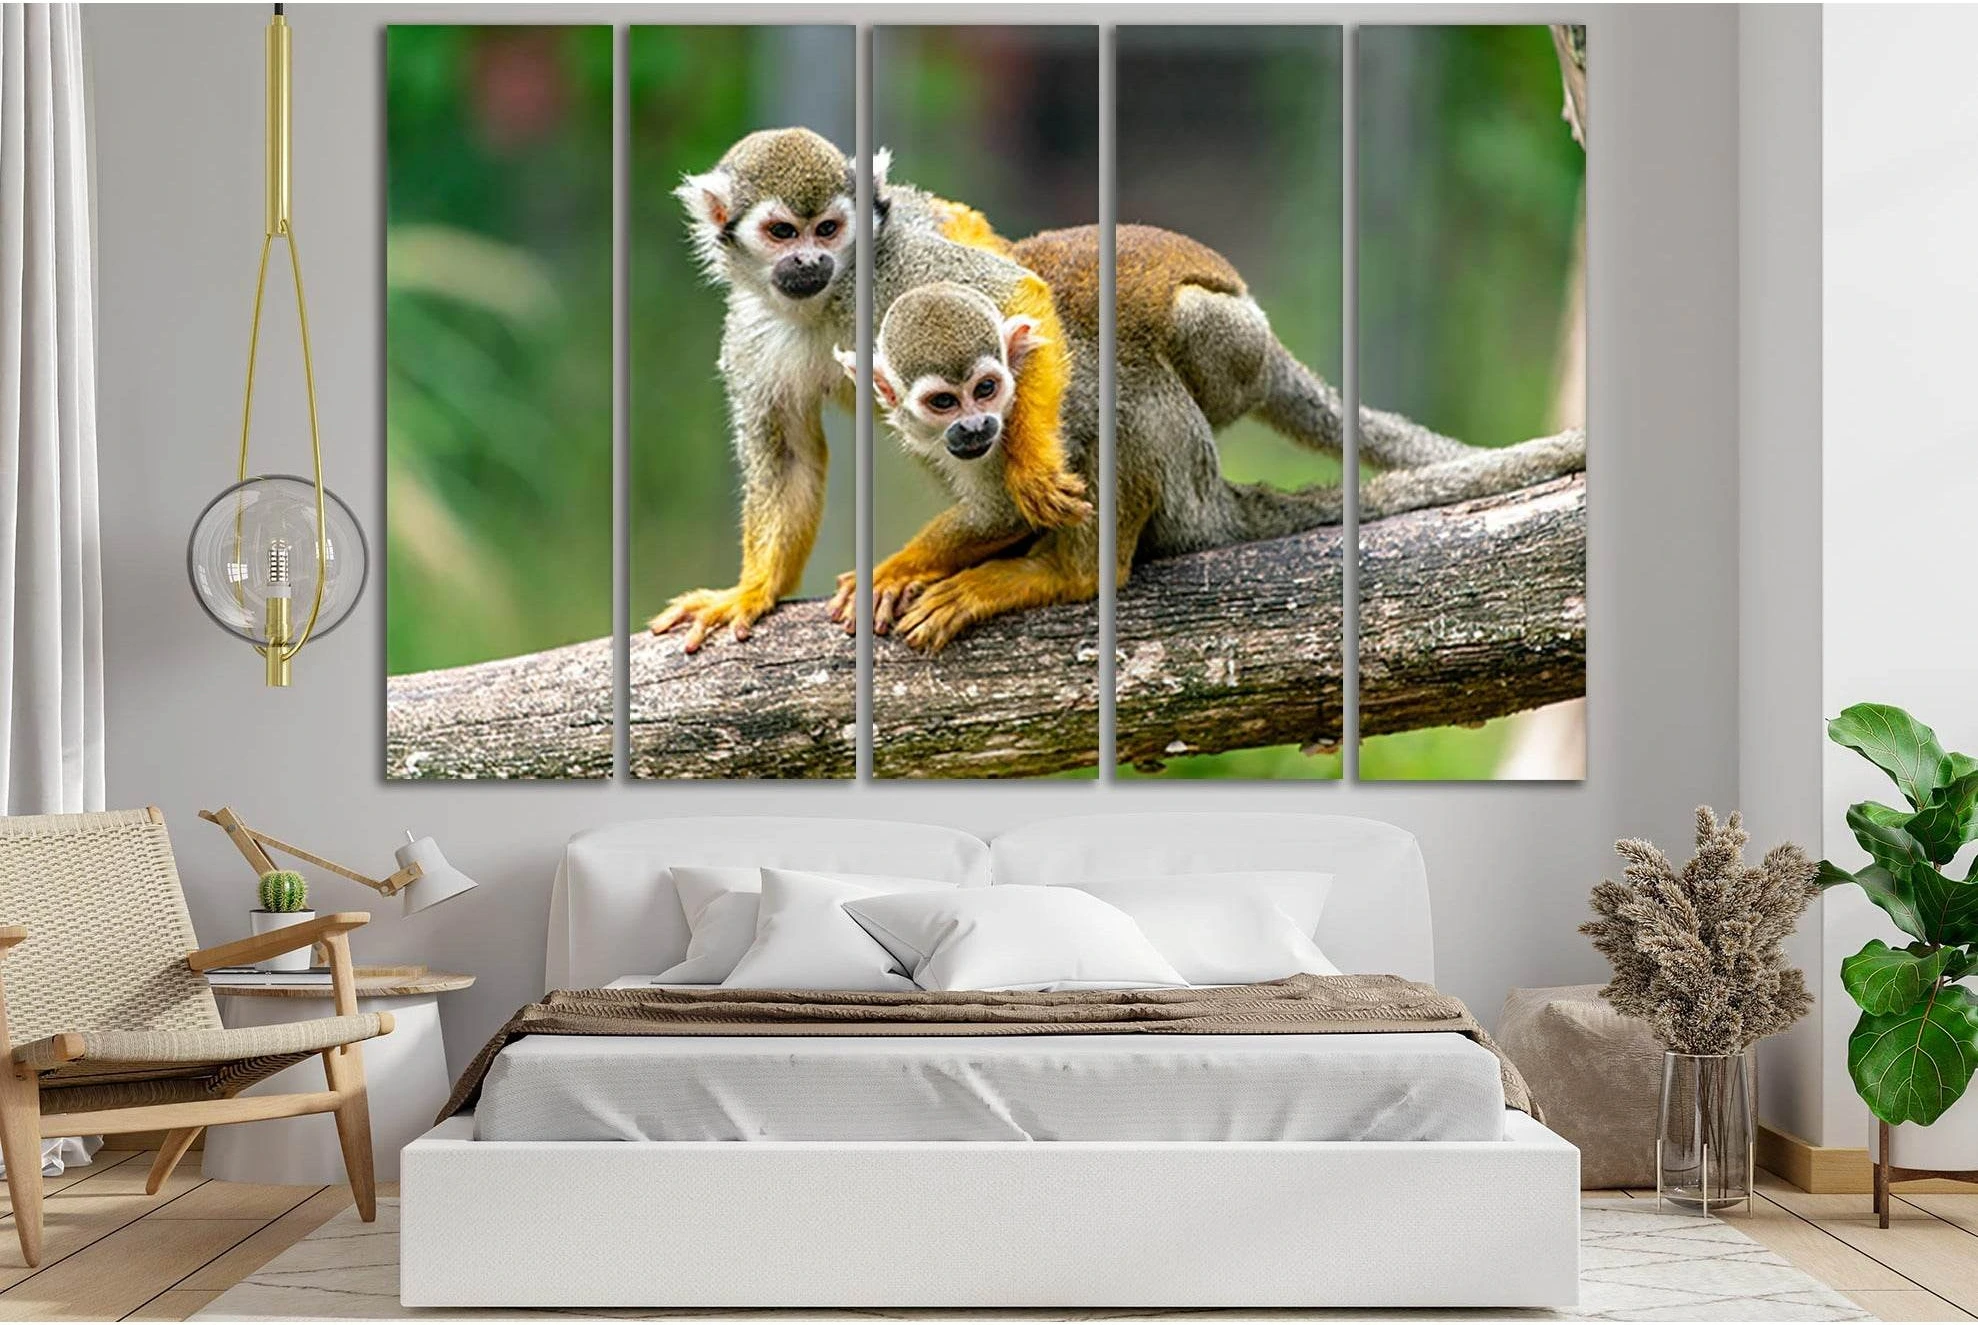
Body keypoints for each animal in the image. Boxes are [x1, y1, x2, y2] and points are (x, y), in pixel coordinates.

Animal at [647, 127, 1089, 652]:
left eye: (827, 229)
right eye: (783, 233)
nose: (809, 259)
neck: (824, 302)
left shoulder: (886, 263)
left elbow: (1017, 291)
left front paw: (1034, 472)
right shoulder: (753, 331)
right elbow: (788, 459)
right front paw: (752, 589)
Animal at [839, 223, 1586, 651]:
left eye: (988, 390)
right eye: (943, 402)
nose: (975, 426)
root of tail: (1217, 497)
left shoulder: (1042, 402)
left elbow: (1021, 492)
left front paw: (898, 567)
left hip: (1190, 467)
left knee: (1131, 406)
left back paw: (1066, 572)